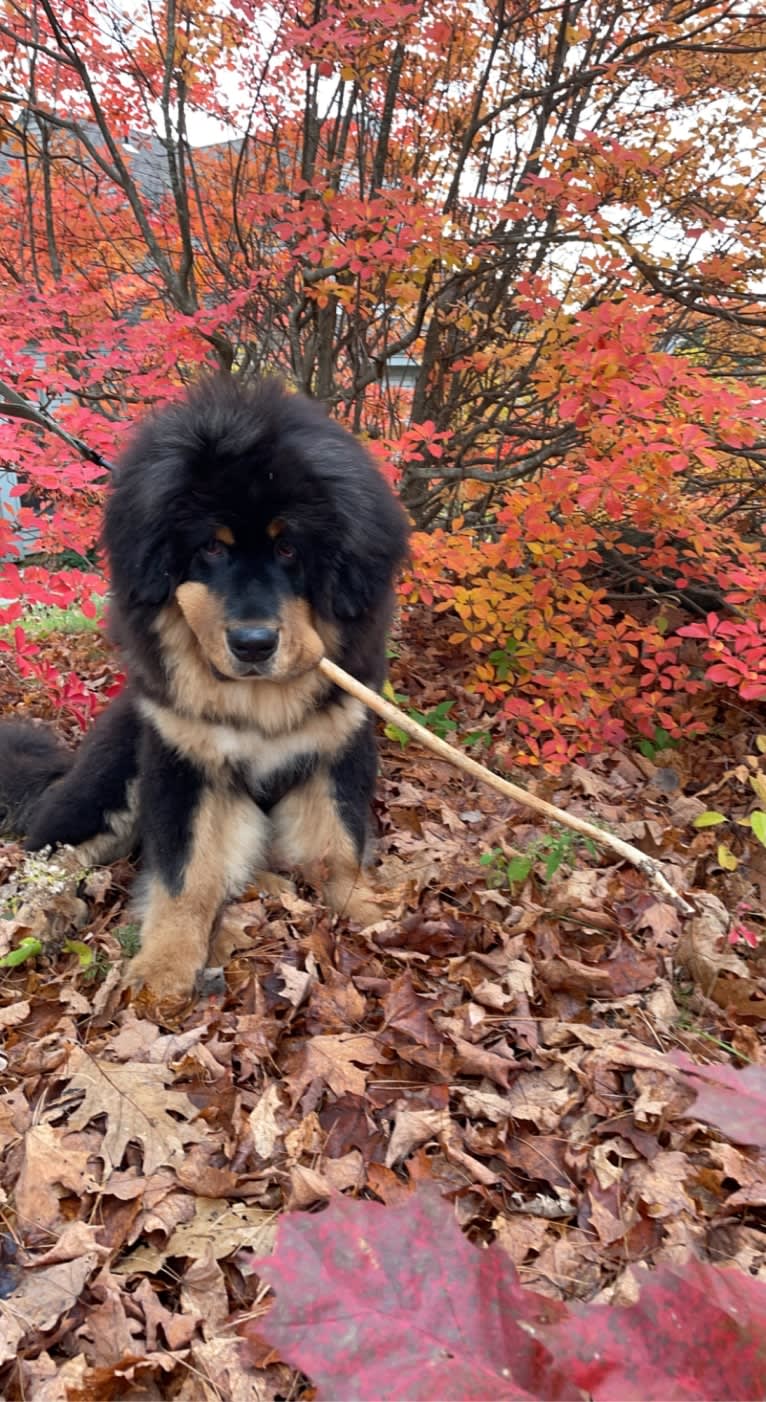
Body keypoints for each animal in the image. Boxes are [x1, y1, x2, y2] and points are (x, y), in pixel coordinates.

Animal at [0, 378, 409, 1003]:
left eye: (289, 548)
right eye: (212, 548)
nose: (254, 643)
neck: (260, 706)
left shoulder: (336, 748)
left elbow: (338, 848)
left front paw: (370, 909)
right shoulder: (185, 762)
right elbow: (185, 875)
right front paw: (164, 965)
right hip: (109, 780)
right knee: (50, 855)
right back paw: (42, 916)